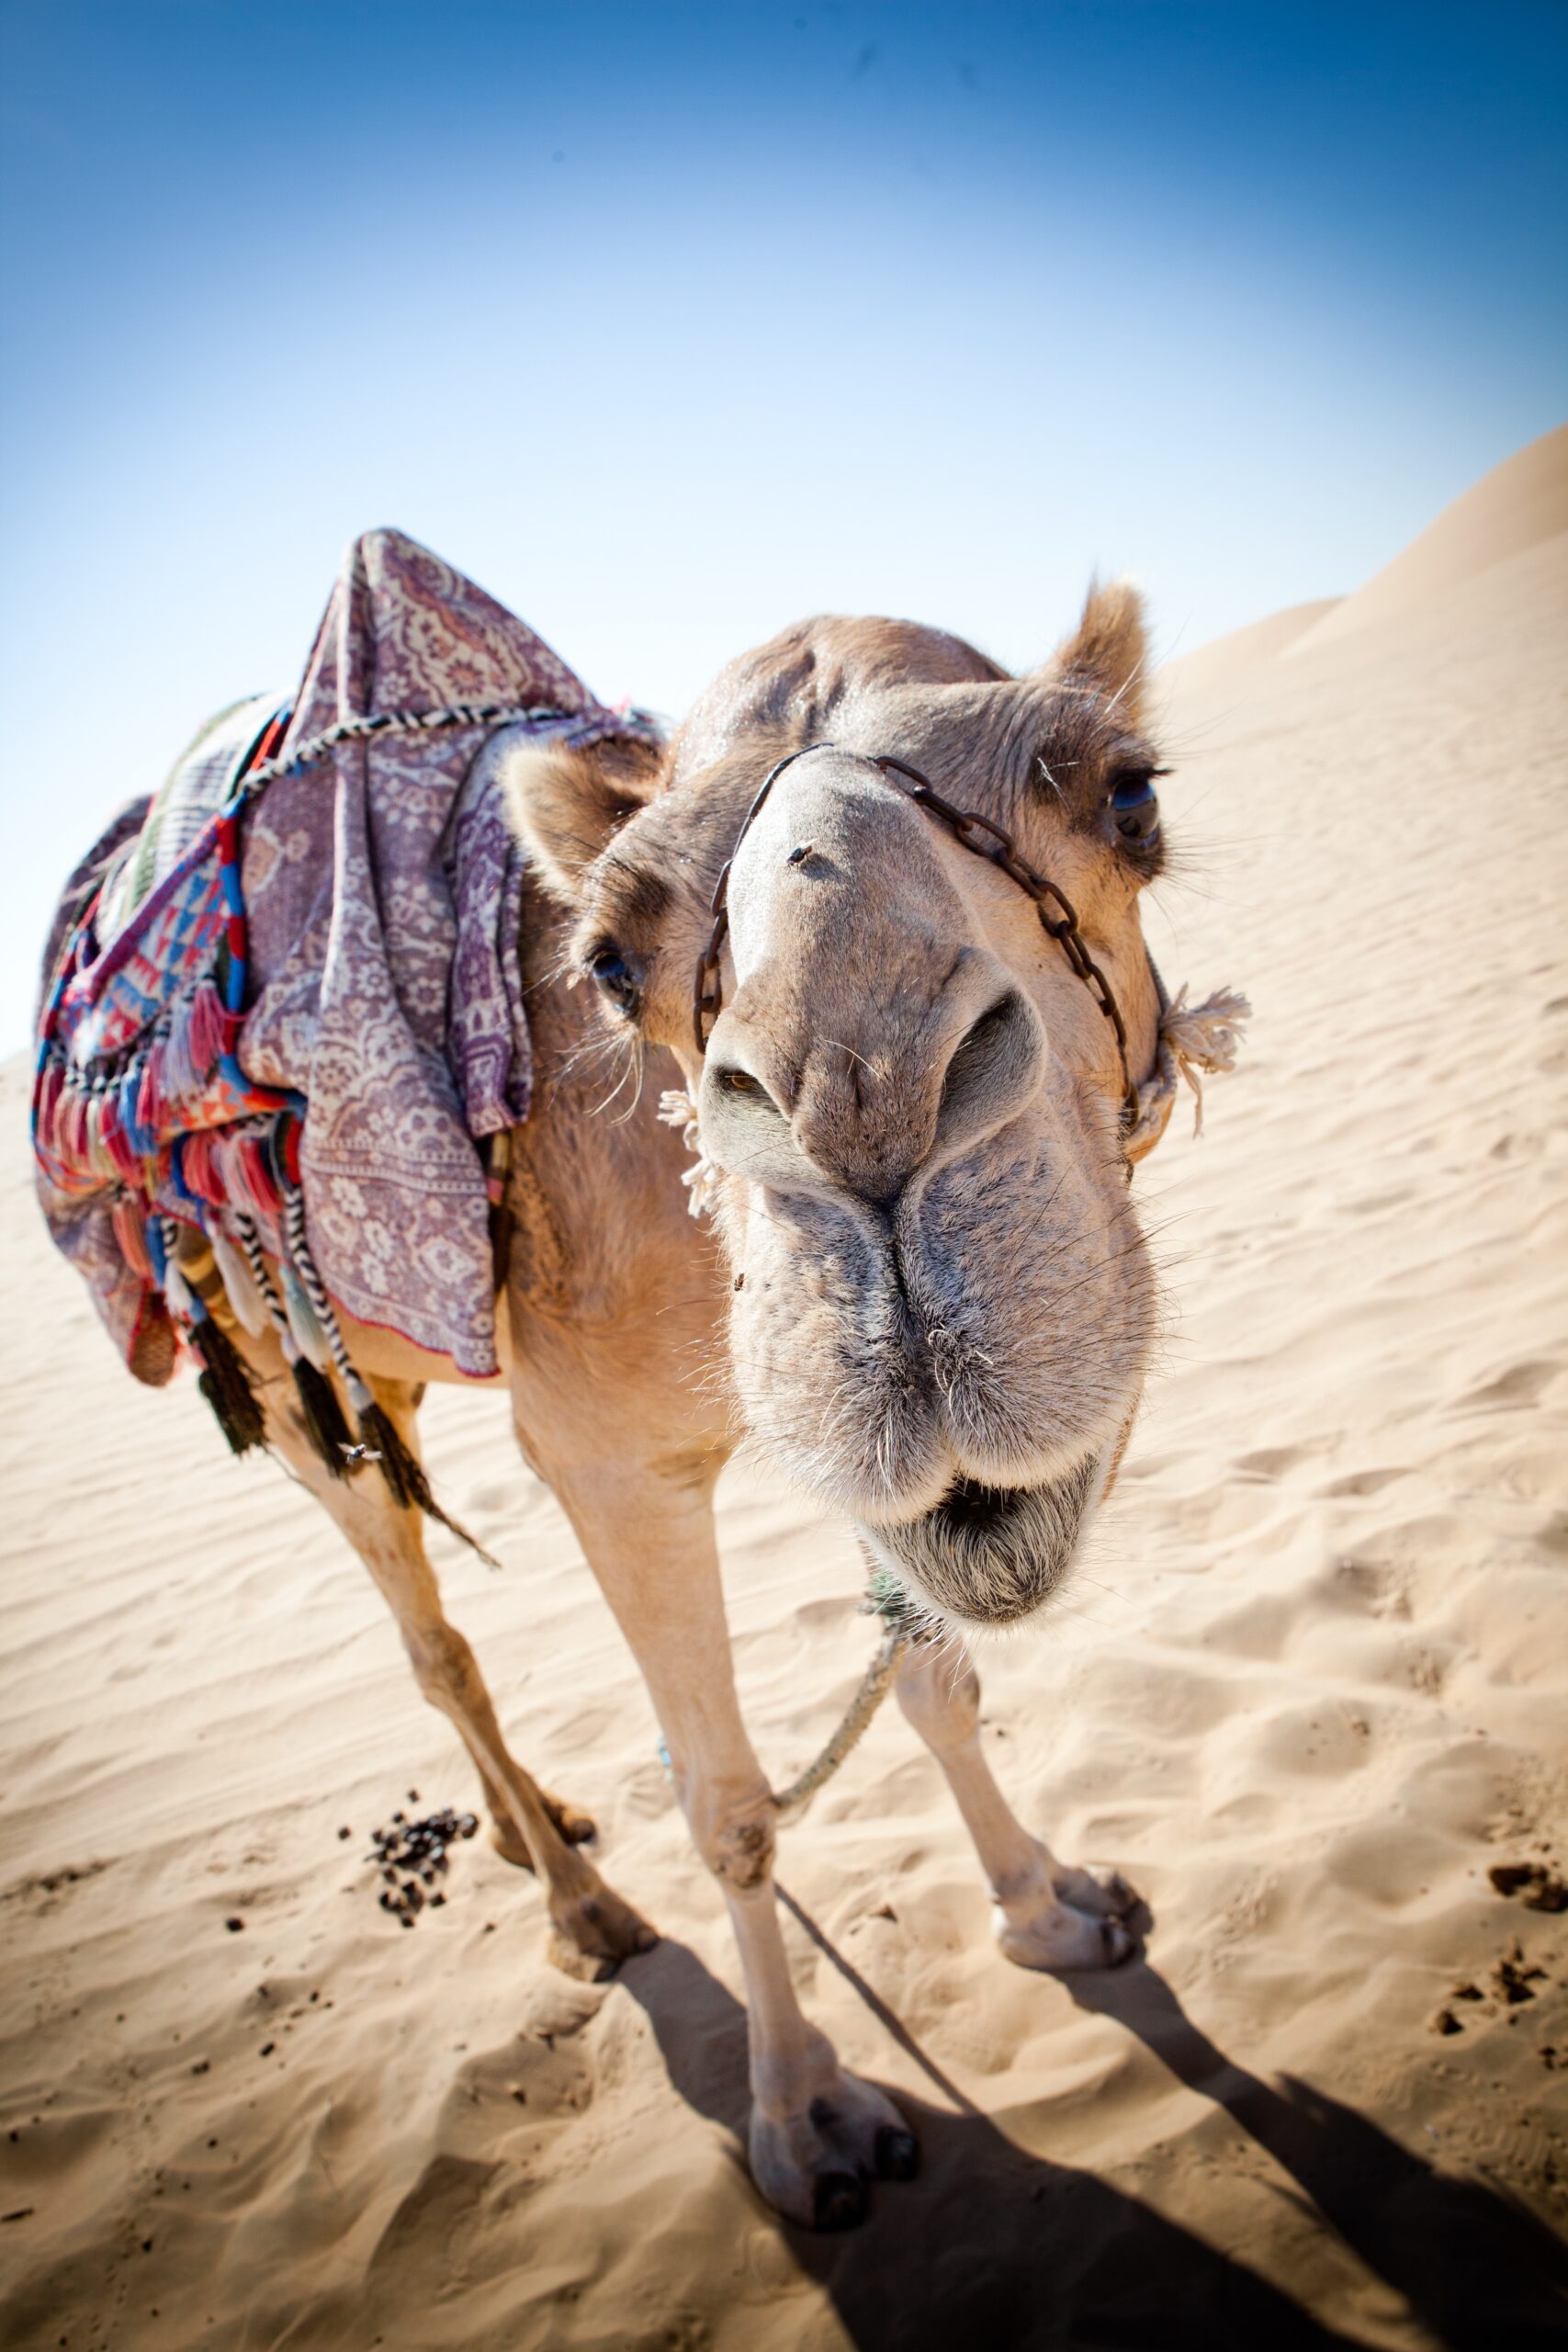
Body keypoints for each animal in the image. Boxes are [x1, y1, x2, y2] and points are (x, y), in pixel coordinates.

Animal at [54, 582, 1237, 2229]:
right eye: (609, 961)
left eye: (1127, 797)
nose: (862, 1110)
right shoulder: (606, 1462)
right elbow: (727, 1803)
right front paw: (806, 2123)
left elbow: (932, 1674)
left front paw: (1053, 1906)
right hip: (286, 1384)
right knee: (433, 1643)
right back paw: (586, 1909)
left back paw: (534, 1827)